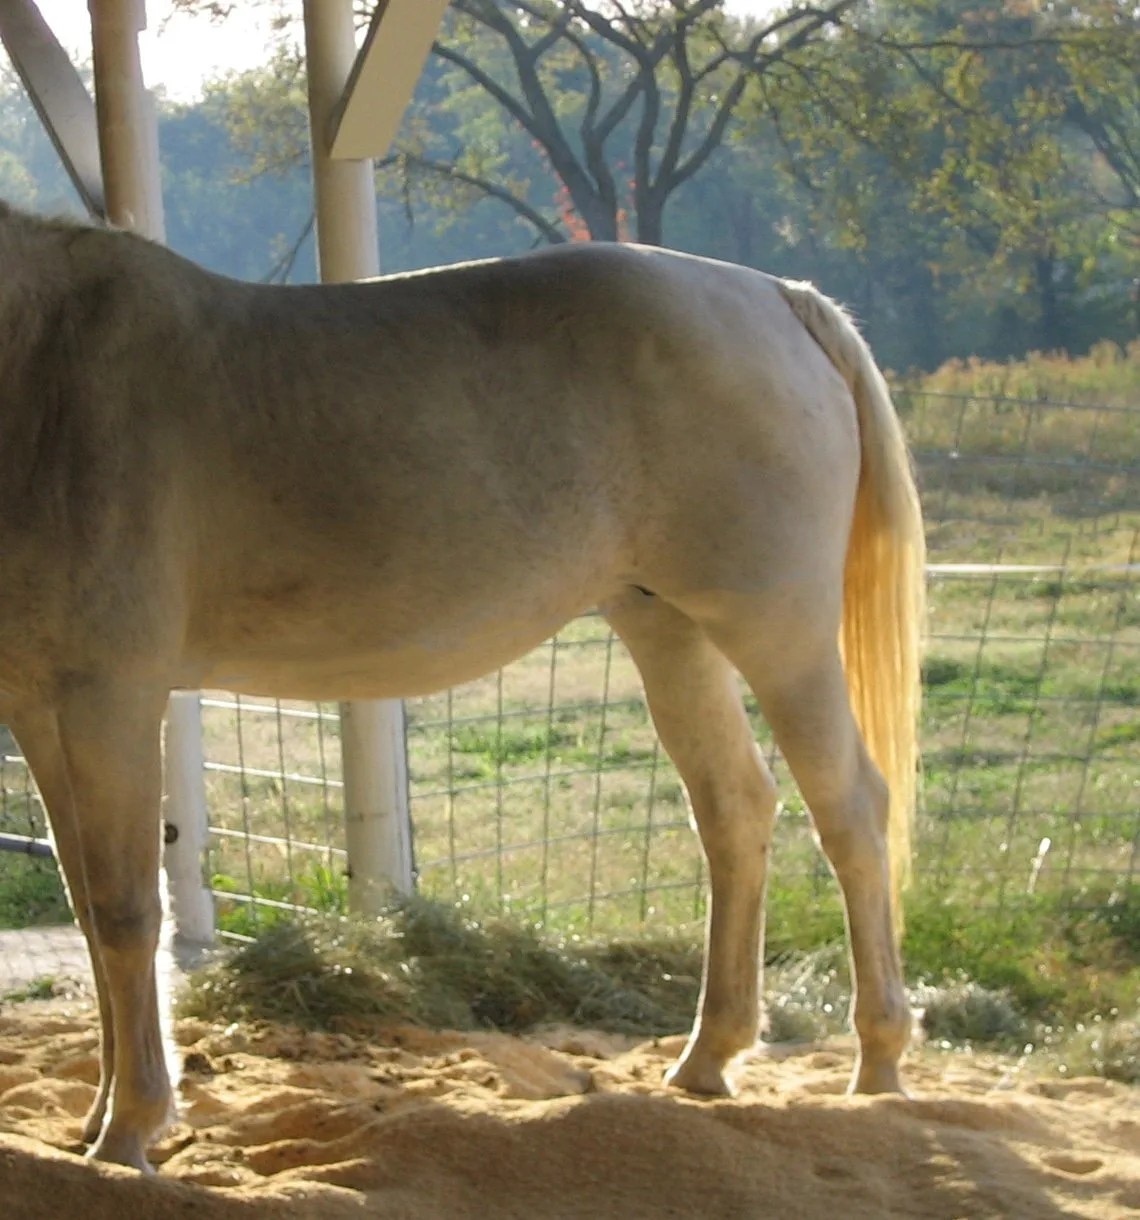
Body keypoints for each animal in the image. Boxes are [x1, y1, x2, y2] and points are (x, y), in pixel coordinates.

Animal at [0, 200, 924, 1171]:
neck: (43, 367)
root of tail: (781, 299)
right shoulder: (40, 707)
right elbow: (89, 909)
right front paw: (97, 1119)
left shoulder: (111, 696)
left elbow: (127, 911)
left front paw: (130, 1130)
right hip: (667, 630)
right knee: (735, 810)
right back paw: (708, 1057)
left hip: (777, 632)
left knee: (850, 810)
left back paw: (877, 1064)